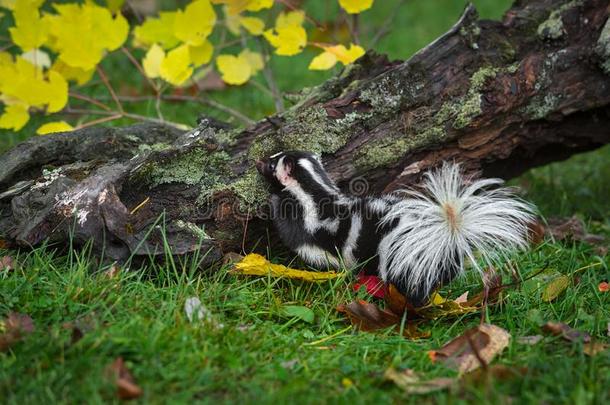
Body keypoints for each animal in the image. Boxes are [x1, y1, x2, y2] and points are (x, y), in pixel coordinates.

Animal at [254, 150, 536, 304]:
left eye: (271, 163)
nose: (257, 162)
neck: (314, 189)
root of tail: (447, 234)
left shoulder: (310, 228)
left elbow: (306, 245)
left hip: (405, 257)